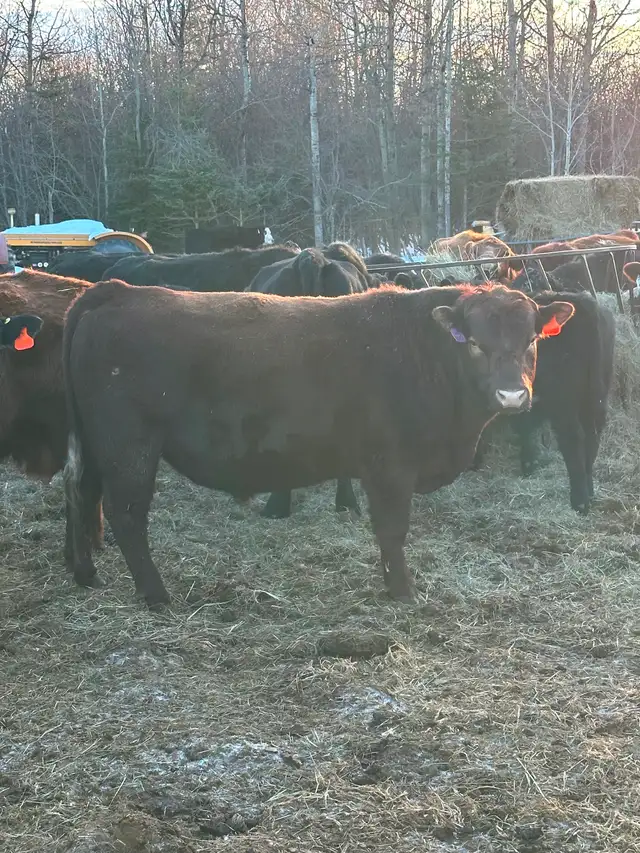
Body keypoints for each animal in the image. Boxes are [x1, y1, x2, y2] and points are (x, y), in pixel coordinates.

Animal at [62, 280, 574, 608]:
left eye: (531, 340)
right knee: (127, 513)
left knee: (82, 493)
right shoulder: (390, 467)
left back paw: (85, 574)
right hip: (129, 446)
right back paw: (155, 595)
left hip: (96, 445)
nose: (512, 395)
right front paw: (403, 592)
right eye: (474, 343)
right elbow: (392, 531)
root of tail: (119, 291)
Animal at [474, 291, 615, 513]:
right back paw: (589, 490)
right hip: (596, 396)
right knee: (593, 435)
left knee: (573, 437)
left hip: (564, 402)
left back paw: (580, 500)